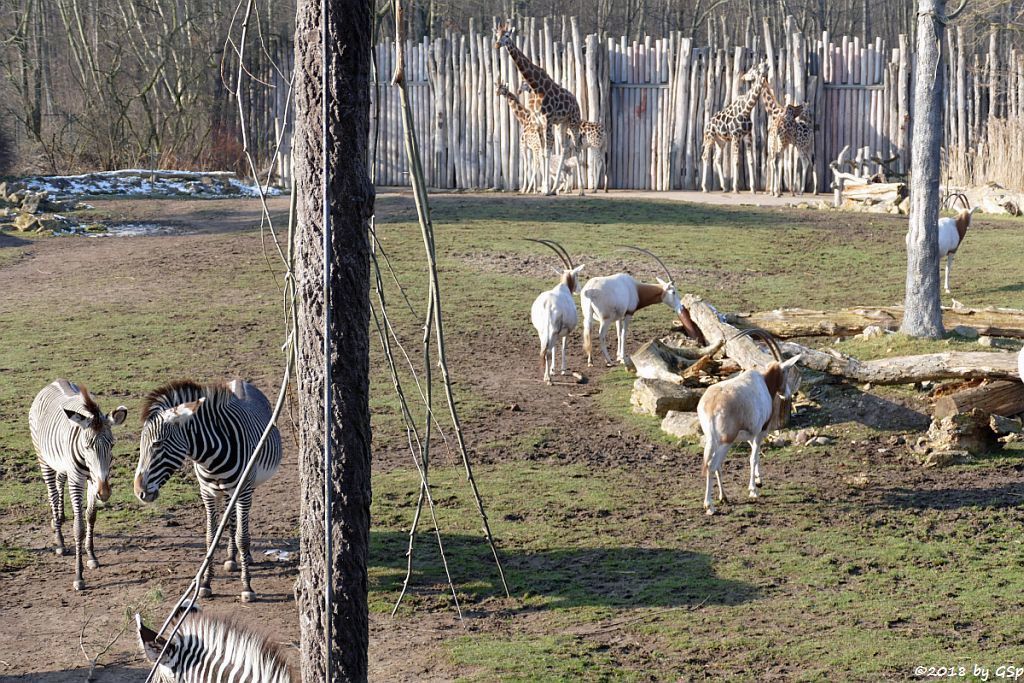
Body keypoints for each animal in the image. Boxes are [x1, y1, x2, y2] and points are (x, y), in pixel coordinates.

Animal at [29, 378, 128, 593]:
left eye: (112, 445)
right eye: (87, 446)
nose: (104, 493)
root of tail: (55, 381)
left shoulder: (93, 480)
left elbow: (90, 516)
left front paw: (91, 556)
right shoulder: (77, 480)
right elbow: (79, 528)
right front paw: (79, 576)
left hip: (61, 464)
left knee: (59, 482)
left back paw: (58, 518)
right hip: (44, 459)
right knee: (52, 493)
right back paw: (59, 541)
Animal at [135, 378, 284, 602]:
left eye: (157, 444)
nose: (139, 491)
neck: (211, 458)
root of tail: (240, 381)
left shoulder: (243, 491)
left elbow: (242, 538)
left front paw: (247, 587)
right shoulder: (208, 493)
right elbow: (210, 537)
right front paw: (205, 583)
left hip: (247, 487)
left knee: (241, 523)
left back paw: (244, 556)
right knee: (231, 518)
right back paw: (231, 558)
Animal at [495, 23, 585, 194]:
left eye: (507, 35)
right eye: (496, 34)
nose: (497, 44)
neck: (537, 87)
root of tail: (576, 102)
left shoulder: (547, 120)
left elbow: (546, 153)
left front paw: (545, 189)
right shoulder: (539, 123)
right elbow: (543, 153)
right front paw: (545, 188)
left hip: (573, 122)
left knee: (576, 147)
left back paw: (581, 191)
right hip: (561, 124)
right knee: (564, 148)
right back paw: (556, 188)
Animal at [704, 60, 770, 193]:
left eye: (764, 66)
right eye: (754, 69)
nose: (744, 77)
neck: (746, 109)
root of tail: (707, 124)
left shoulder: (747, 136)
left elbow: (751, 161)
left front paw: (753, 189)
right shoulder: (735, 136)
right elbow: (736, 161)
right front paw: (736, 188)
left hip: (721, 141)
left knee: (716, 158)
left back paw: (724, 187)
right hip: (710, 137)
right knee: (705, 156)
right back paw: (705, 187)